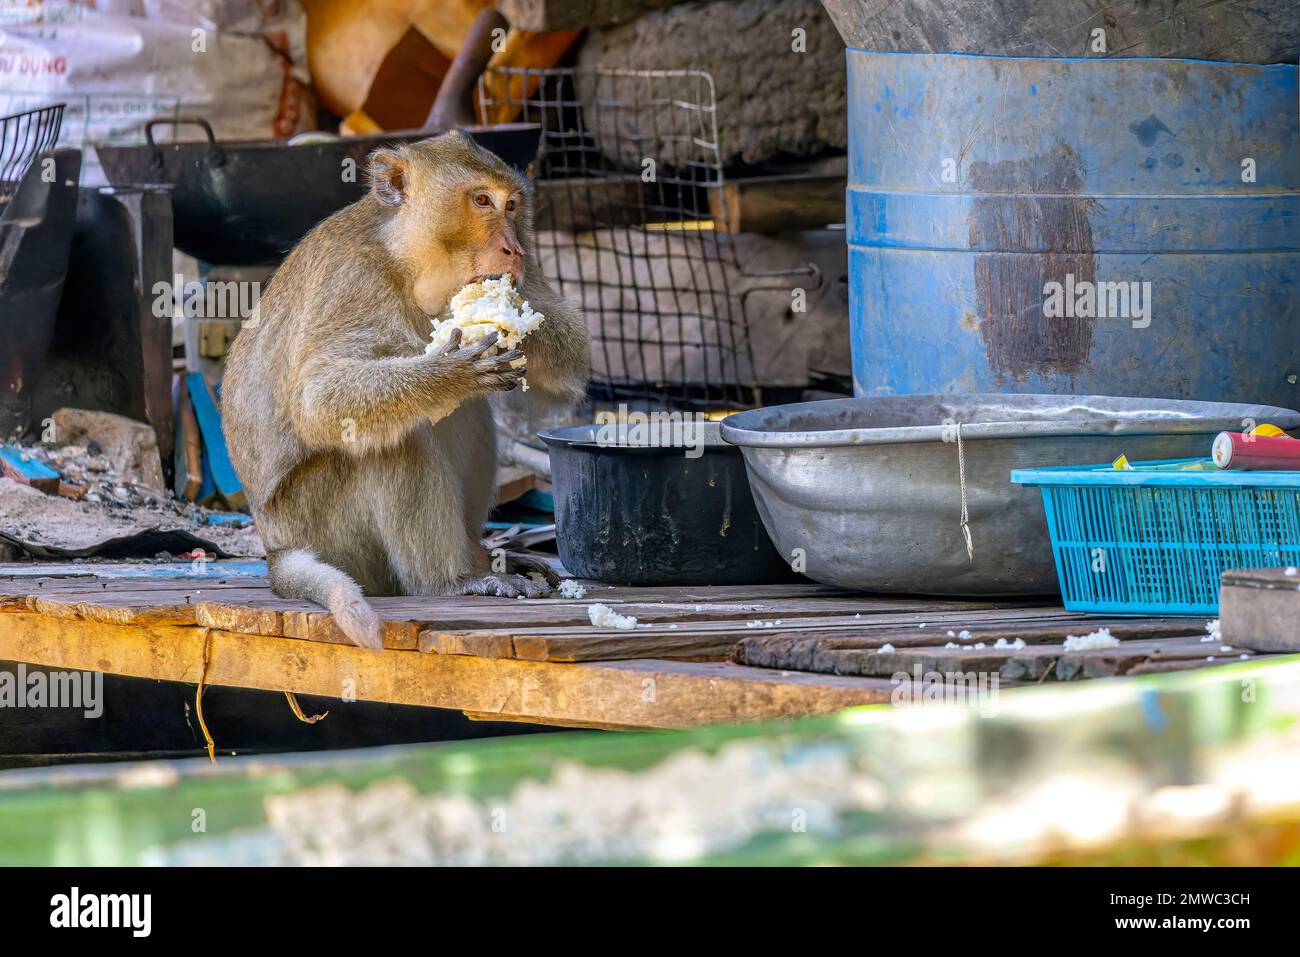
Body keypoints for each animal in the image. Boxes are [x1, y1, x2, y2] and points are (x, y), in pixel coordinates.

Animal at [223, 130, 590, 647]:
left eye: (513, 205)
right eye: (481, 201)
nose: (513, 249)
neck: (406, 262)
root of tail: (277, 549)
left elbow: (570, 363)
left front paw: (507, 311)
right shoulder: (352, 282)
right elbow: (318, 398)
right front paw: (450, 373)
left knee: (465, 414)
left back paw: (480, 556)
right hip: (325, 530)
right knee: (390, 439)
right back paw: (450, 580)